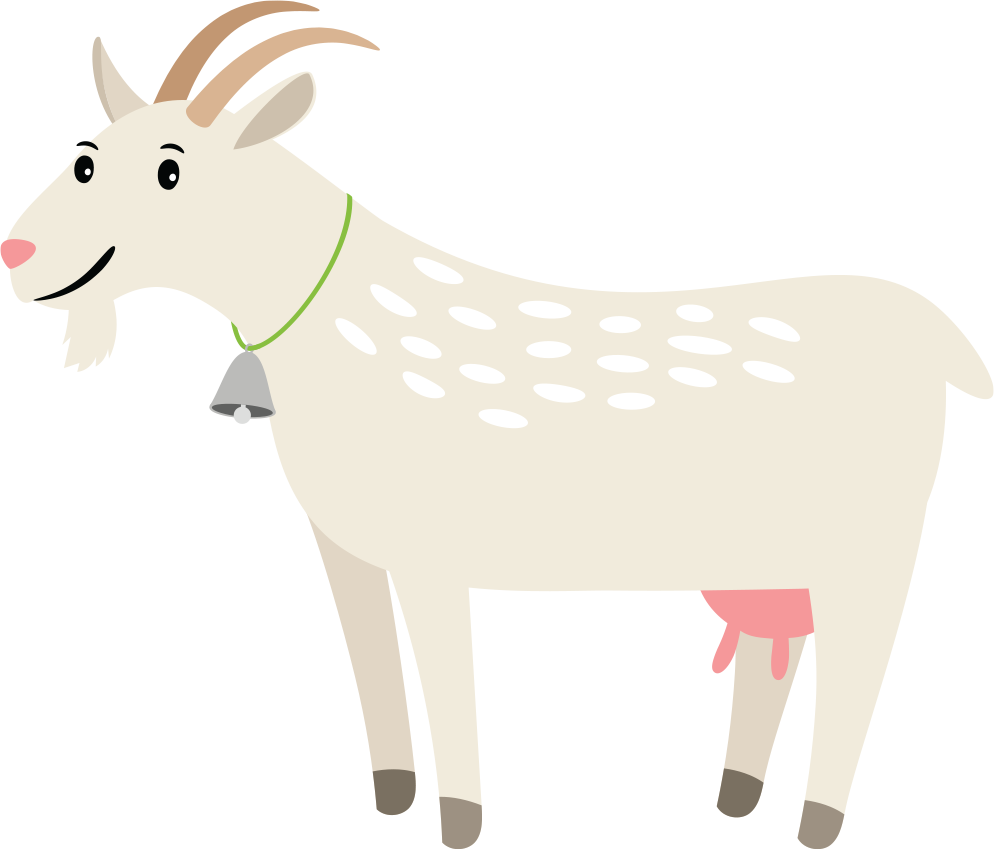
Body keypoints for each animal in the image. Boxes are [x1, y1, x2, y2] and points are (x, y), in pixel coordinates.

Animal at [4, 3, 991, 848]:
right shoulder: (344, 543)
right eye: (87, 158)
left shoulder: (435, 549)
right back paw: (738, 797)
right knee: (774, 655)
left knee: (860, 666)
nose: (18, 254)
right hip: (767, 551)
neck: (331, 329)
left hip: (872, 545)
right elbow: (372, 663)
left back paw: (817, 822)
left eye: (171, 170)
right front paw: (394, 798)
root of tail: (939, 337)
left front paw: (459, 823)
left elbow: (445, 674)